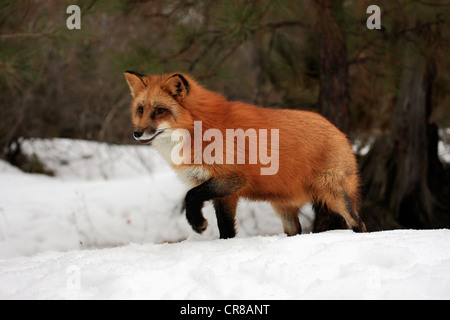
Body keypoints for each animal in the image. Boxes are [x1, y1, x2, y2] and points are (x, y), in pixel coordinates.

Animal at [123, 72, 366, 238]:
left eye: (160, 110)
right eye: (141, 110)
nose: (137, 133)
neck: (201, 129)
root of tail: (339, 131)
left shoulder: (233, 179)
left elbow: (190, 196)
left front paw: (197, 223)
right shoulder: (222, 192)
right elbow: (225, 228)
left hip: (336, 196)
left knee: (359, 224)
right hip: (284, 210)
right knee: (295, 231)